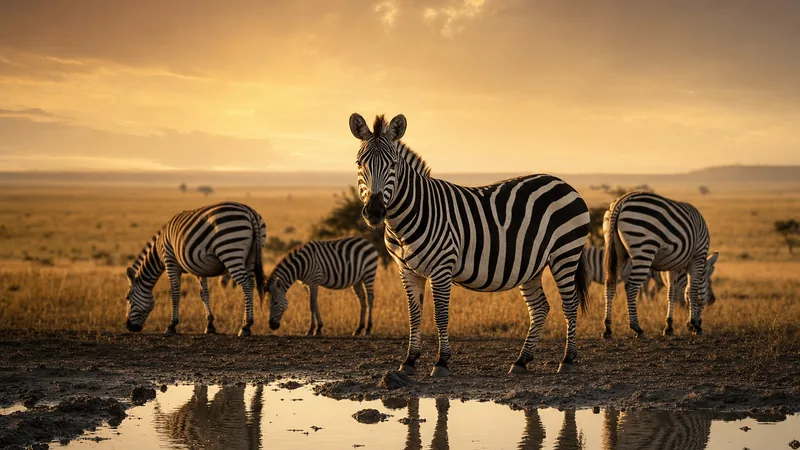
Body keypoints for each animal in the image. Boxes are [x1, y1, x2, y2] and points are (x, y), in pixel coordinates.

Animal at [125, 202, 266, 337]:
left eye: (128, 298)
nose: (128, 327)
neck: (158, 252)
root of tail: (250, 212)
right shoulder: (200, 267)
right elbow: (204, 294)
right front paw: (209, 325)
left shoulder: (170, 262)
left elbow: (175, 294)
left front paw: (171, 326)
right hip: (250, 257)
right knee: (251, 284)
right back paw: (246, 323)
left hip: (230, 251)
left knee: (246, 284)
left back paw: (246, 326)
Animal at [349, 113, 590, 376]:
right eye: (359, 163)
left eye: (392, 164)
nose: (374, 212)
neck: (410, 214)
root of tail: (563, 182)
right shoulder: (406, 270)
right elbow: (414, 315)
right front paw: (410, 360)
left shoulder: (442, 267)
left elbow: (440, 315)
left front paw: (441, 362)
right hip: (532, 265)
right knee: (539, 308)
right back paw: (521, 360)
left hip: (565, 253)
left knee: (570, 304)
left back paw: (567, 359)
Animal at [602, 191, 718, 338]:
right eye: (710, 283)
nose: (713, 300)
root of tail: (621, 201)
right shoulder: (697, 257)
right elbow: (692, 291)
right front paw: (695, 325)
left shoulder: (673, 265)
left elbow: (672, 293)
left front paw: (669, 327)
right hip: (644, 249)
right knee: (631, 287)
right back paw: (637, 328)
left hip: (616, 251)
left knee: (610, 284)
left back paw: (607, 328)